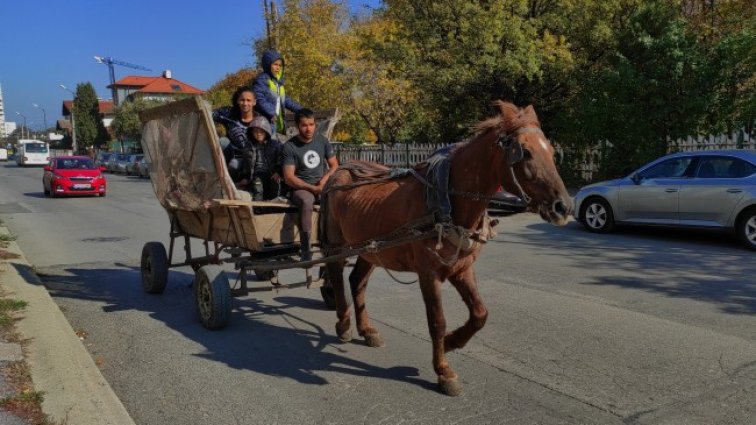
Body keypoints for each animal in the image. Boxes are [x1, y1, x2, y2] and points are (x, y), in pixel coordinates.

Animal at [318, 101, 572, 396]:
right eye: (526, 152)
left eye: (552, 151)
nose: (564, 206)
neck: (446, 201)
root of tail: (338, 171)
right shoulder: (429, 275)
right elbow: (437, 322)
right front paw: (443, 370)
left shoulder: (462, 269)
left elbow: (480, 314)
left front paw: (452, 343)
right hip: (338, 246)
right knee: (336, 278)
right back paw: (344, 324)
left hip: (371, 249)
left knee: (357, 282)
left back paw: (367, 330)